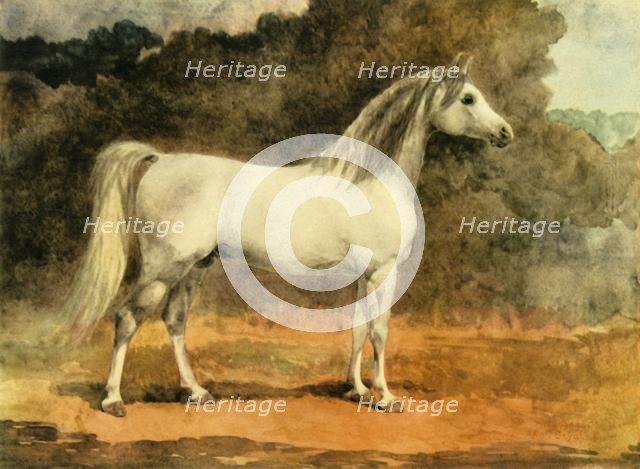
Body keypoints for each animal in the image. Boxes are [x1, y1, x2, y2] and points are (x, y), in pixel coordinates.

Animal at [60, 54, 513, 417]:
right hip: (164, 267)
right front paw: (385, 396)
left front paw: (357, 390)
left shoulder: (364, 275)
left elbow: (357, 328)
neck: (368, 182)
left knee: (174, 320)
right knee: (127, 318)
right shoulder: (383, 272)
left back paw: (197, 392)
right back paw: (113, 400)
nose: (506, 133)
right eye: (468, 98)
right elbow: (380, 331)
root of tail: (161, 159)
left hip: (195, 266)